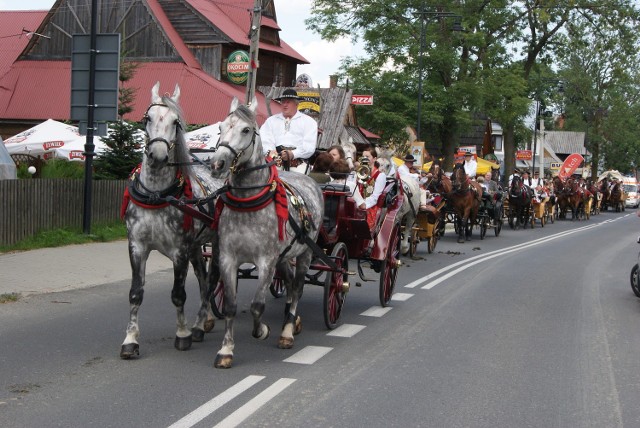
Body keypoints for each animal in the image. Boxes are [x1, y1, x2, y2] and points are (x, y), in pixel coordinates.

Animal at [120, 82, 225, 360]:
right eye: (147, 118)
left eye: (176, 122)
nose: (157, 156)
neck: (157, 195)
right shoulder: (137, 246)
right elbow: (135, 293)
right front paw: (130, 340)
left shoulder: (179, 251)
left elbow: (178, 294)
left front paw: (182, 334)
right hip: (197, 246)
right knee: (203, 278)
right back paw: (203, 322)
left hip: (217, 244)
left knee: (212, 279)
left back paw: (197, 326)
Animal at [209, 97, 322, 368]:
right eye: (220, 128)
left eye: (246, 130)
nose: (217, 164)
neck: (248, 203)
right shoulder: (227, 258)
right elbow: (230, 306)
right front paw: (226, 351)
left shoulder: (266, 261)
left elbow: (257, 305)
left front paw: (262, 330)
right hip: (284, 256)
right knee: (289, 283)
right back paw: (292, 320)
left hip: (305, 253)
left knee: (298, 286)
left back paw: (287, 331)